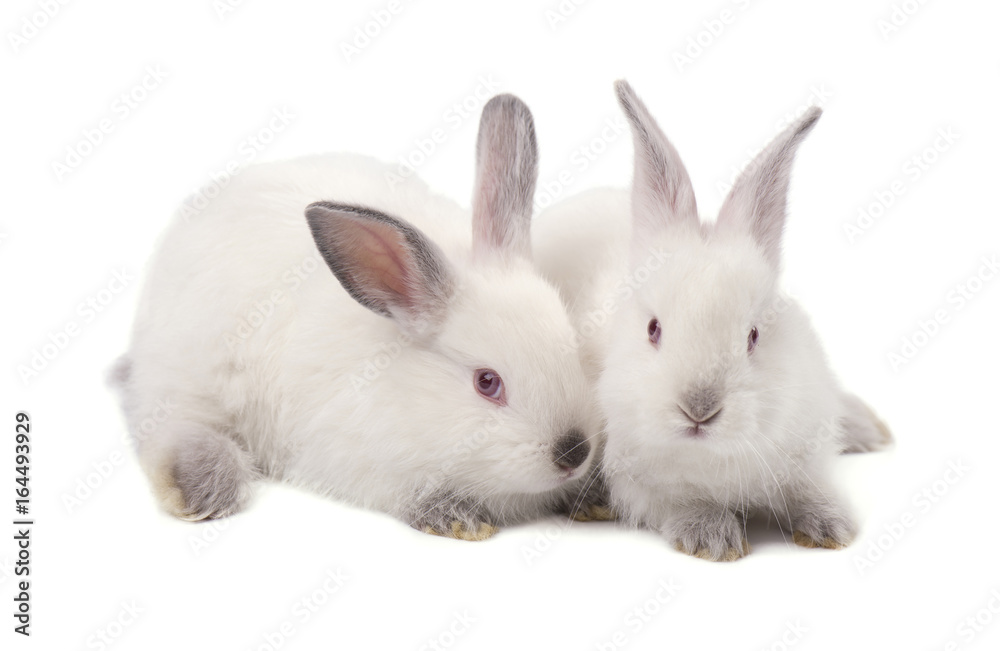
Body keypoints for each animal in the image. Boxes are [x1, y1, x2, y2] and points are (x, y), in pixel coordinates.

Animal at [117, 91, 600, 540]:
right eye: (486, 382)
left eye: (572, 348)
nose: (573, 453)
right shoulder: (354, 459)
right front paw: (455, 518)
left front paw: (591, 500)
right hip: (188, 383)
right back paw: (198, 488)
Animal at [532, 81, 892, 560]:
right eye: (653, 330)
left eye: (753, 335)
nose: (699, 409)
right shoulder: (641, 485)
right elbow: (681, 502)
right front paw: (713, 538)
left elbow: (806, 488)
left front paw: (831, 526)